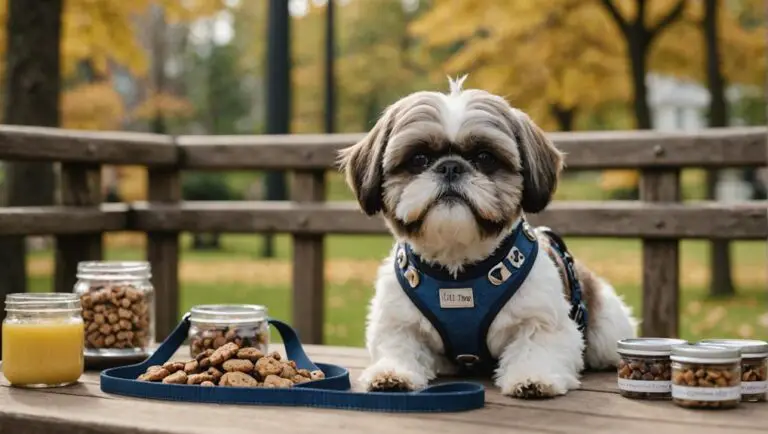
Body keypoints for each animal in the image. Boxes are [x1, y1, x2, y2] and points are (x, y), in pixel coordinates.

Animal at [340, 76, 640, 398]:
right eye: (419, 158)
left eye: (485, 157)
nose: (450, 167)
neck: (458, 269)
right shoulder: (397, 321)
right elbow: (398, 345)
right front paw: (392, 373)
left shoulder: (542, 319)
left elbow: (536, 345)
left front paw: (533, 377)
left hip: (606, 332)